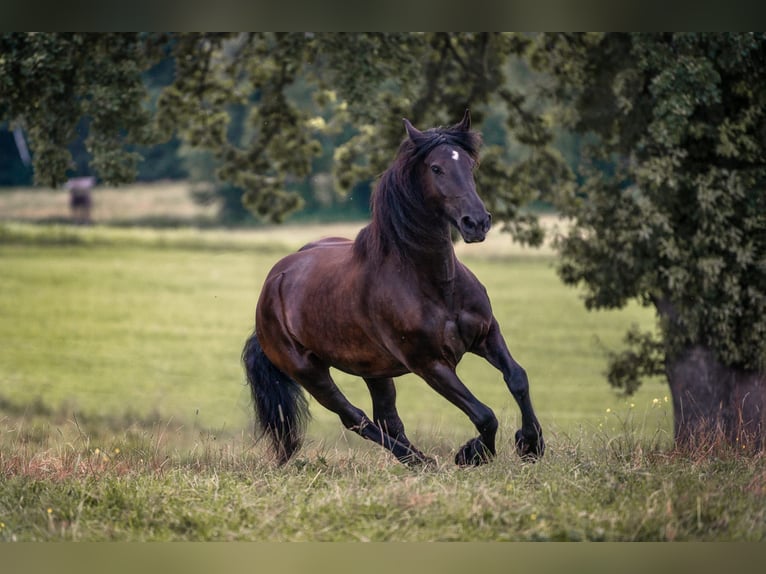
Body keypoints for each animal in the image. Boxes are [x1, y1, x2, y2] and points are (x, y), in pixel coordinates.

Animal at [242, 111, 544, 468]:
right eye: (436, 168)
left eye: (470, 164)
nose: (476, 222)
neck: (436, 286)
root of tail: (272, 283)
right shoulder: (431, 365)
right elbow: (484, 415)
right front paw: (472, 453)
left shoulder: (487, 335)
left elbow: (518, 378)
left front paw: (531, 443)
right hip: (309, 372)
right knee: (355, 418)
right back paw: (420, 461)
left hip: (373, 369)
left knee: (386, 419)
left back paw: (419, 460)